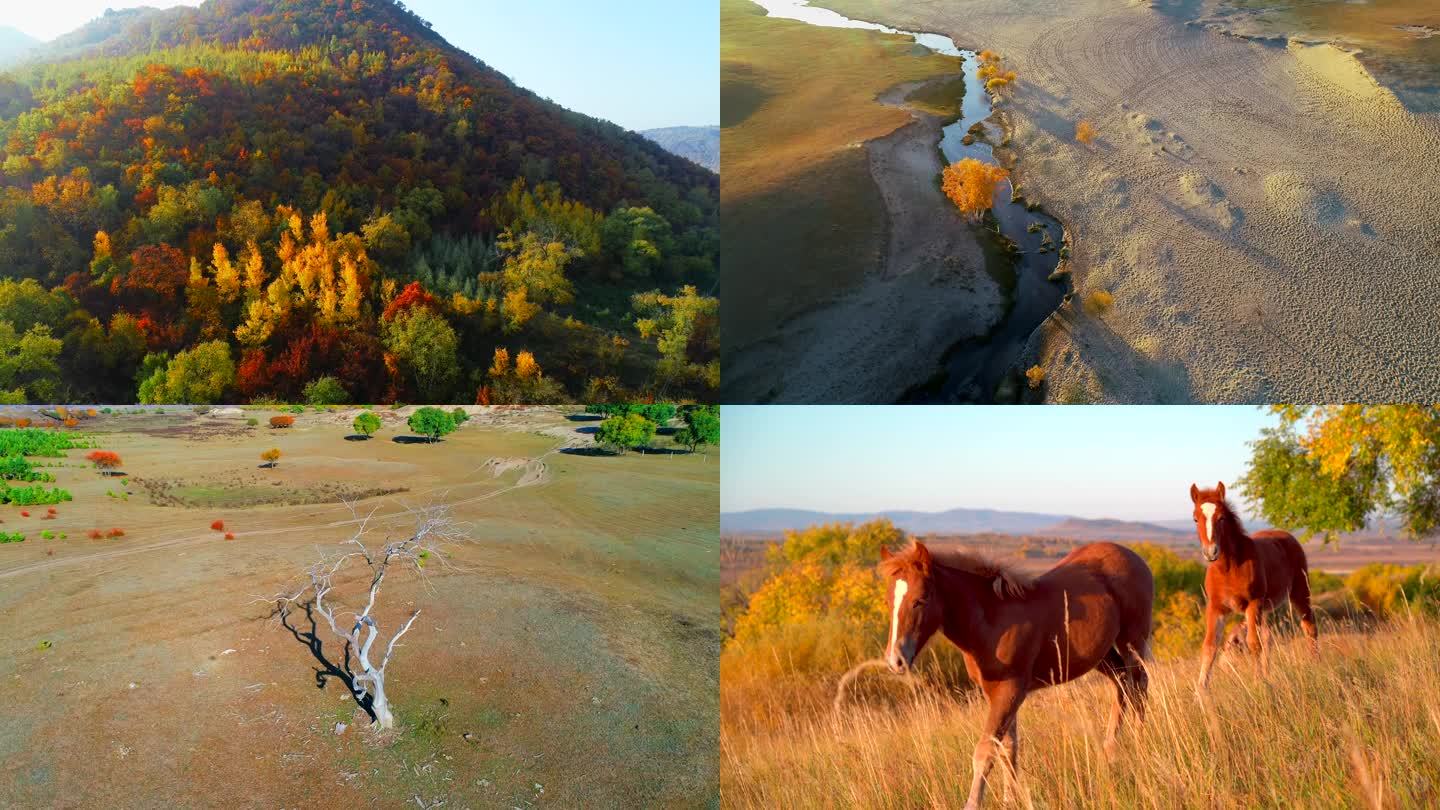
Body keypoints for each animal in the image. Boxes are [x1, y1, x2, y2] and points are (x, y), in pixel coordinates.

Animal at [869, 536, 1152, 807]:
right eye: (887, 601)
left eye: (920, 600)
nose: (895, 661)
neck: (991, 621)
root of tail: (1133, 556)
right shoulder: (996, 692)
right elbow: (1008, 748)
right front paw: (1011, 800)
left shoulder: (1010, 690)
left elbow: (985, 752)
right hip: (1102, 655)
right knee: (1122, 685)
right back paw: (1109, 755)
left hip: (1132, 641)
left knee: (1139, 685)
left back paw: (1140, 749)